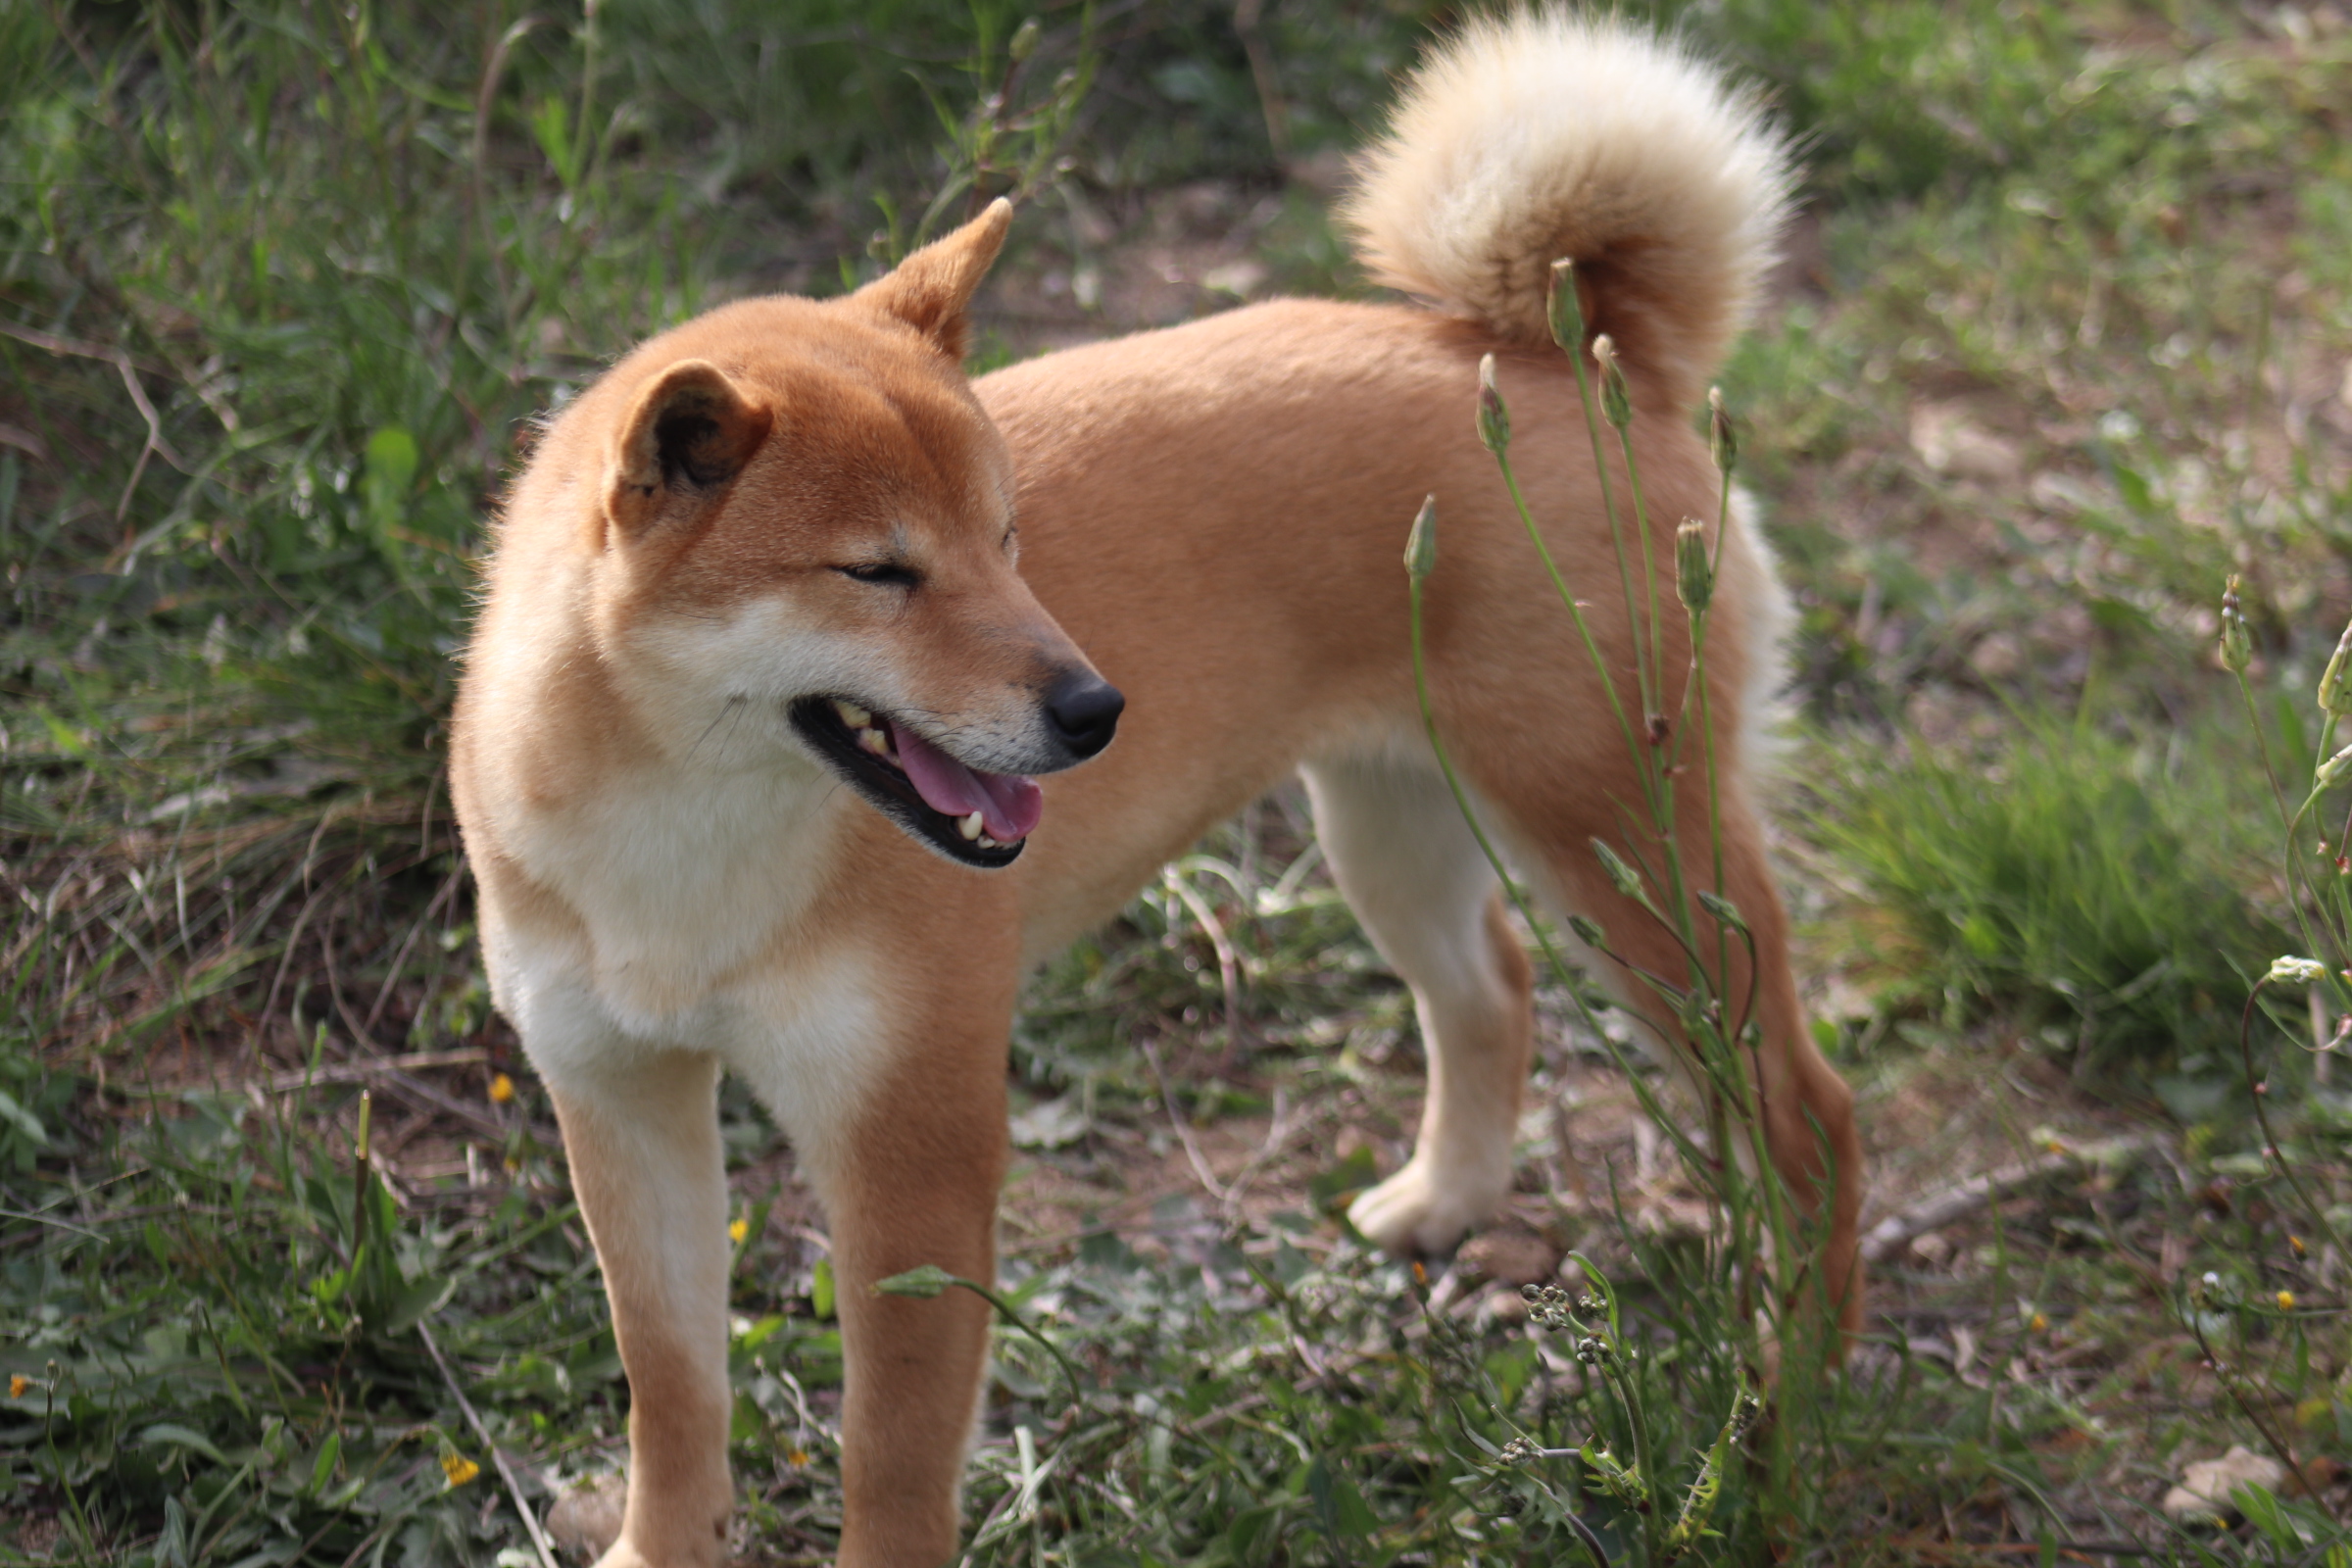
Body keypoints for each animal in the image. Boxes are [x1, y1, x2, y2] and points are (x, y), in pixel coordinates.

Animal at [450, 12, 1864, 1565]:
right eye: (880, 572)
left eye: (1009, 539)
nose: (1096, 710)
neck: (679, 845)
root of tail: (1558, 356)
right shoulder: (618, 1096)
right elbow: (671, 1385)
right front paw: (657, 1544)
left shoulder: (912, 1145)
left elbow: (891, 1454)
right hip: (1395, 828)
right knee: (1490, 989)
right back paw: (1450, 1201)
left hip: (1623, 865)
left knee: (1809, 1118)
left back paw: (1795, 1411)